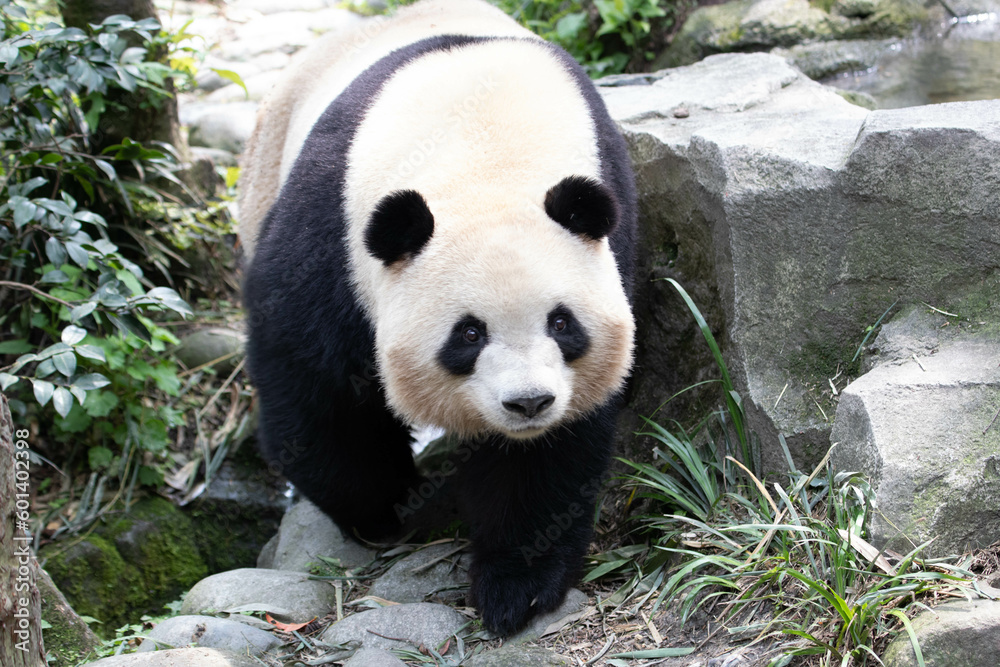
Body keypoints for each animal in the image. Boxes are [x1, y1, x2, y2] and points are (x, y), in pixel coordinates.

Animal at [239, 0, 637, 636]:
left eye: (562, 324)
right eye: (468, 334)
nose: (528, 402)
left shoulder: (611, 227)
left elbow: (551, 450)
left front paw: (517, 585)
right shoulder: (332, 229)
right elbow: (318, 385)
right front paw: (381, 508)